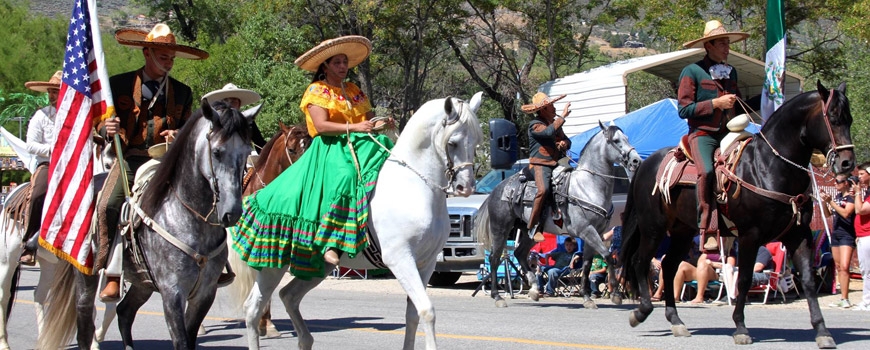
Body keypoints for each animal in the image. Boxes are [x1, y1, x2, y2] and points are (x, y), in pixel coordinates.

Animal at [235, 93, 488, 350]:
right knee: (253, 307)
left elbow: (413, 314)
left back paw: (305, 339)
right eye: (452, 142)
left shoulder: (426, 263)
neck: (414, 186)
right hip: (273, 262)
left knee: (288, 295)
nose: (465, 187)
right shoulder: (400, 259)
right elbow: (427, 311)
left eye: (477, 141)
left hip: (317, 265)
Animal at [624, 81, 856, 348]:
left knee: (669, 266)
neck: (769, 166)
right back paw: (641, 311)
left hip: (683, 232)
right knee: (640, 262)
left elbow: (807, 279)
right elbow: (743, 279)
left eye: (849, 119)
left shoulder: (799, 235)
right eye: (833, 118)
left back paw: (676, 321)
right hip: (653, 228)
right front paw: (741, 328)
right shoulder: (749, 236)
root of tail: (645, 164)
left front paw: (823, 331)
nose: (848, 163)